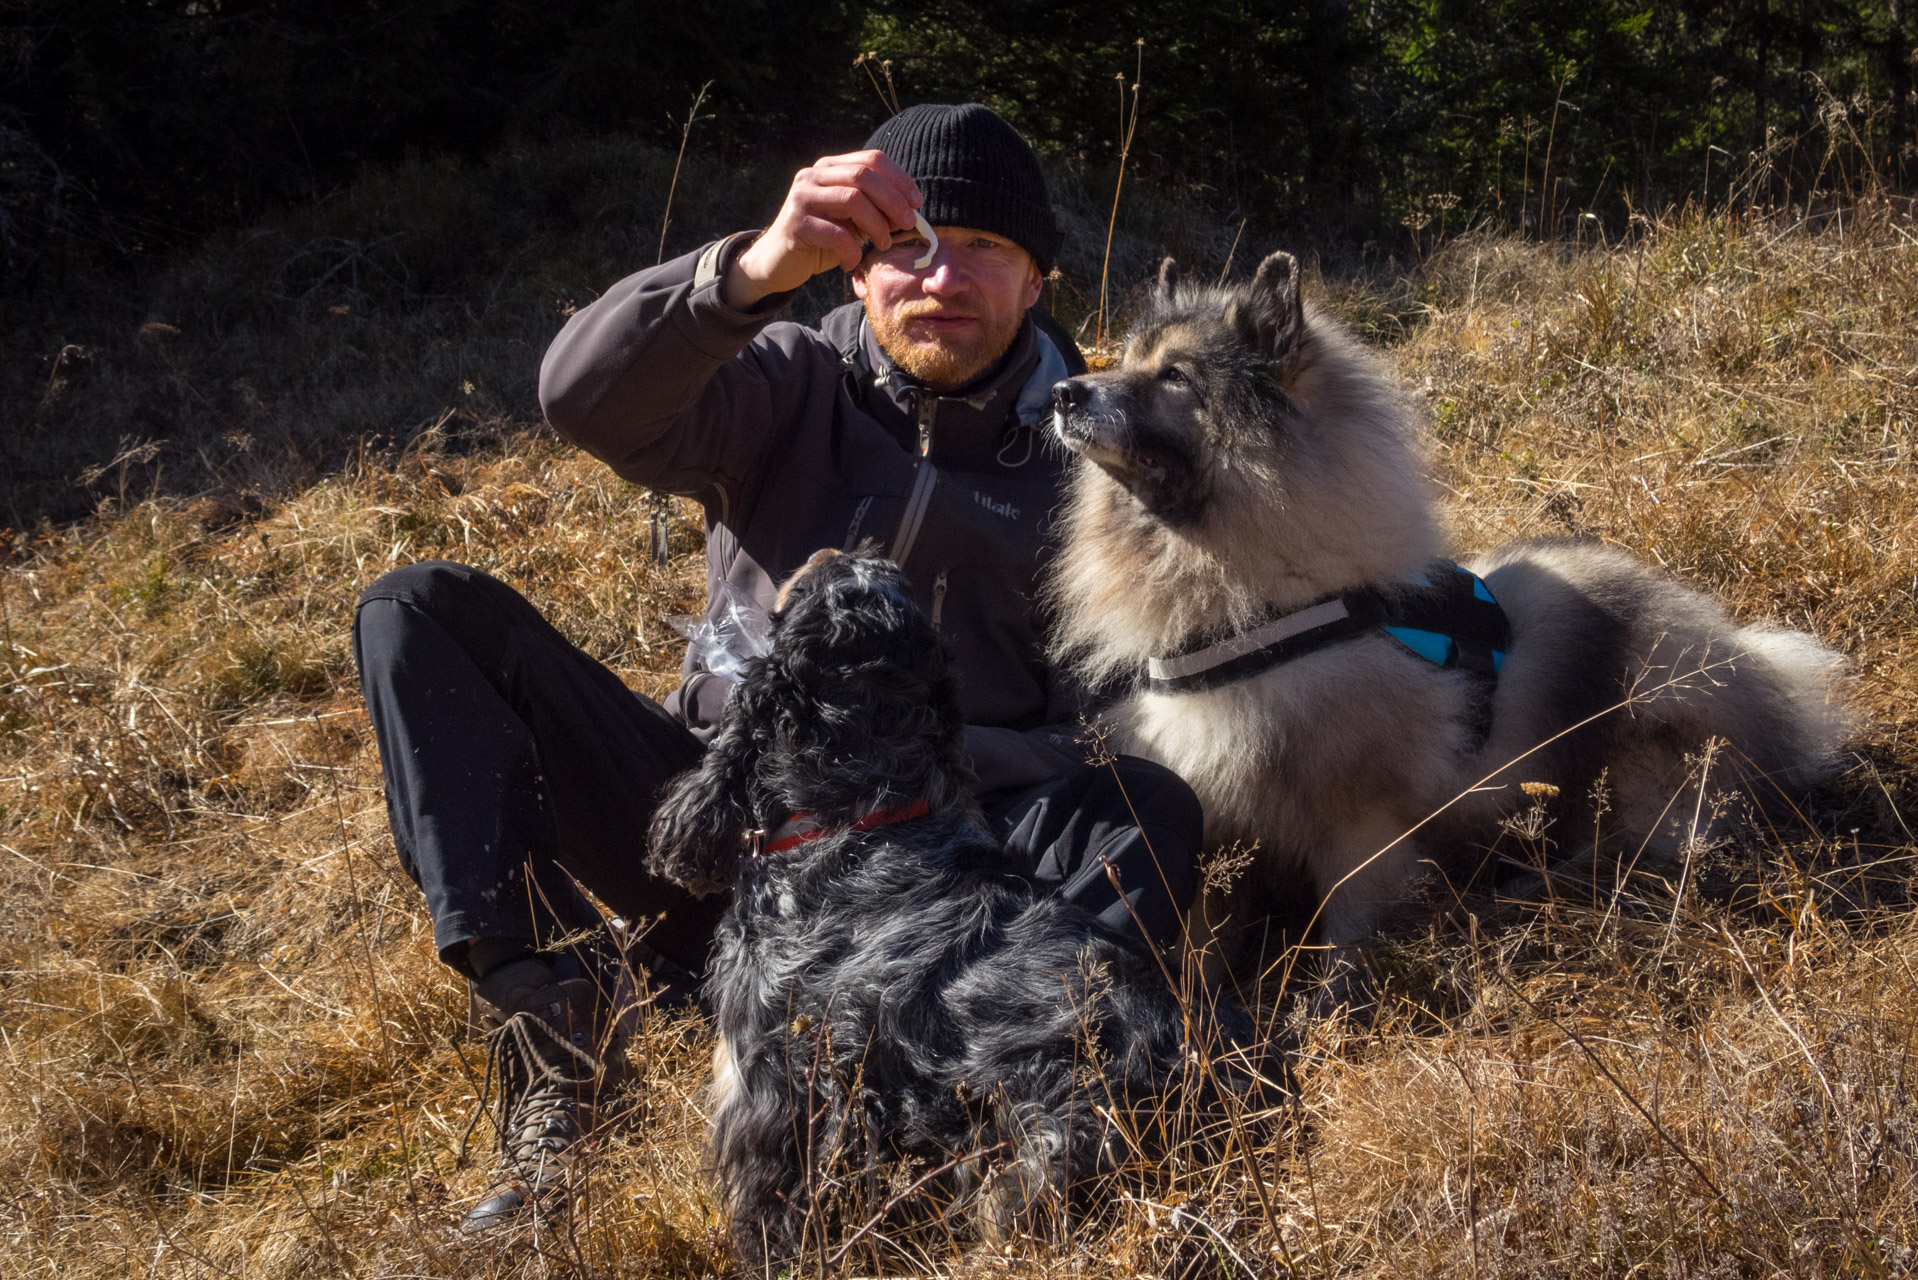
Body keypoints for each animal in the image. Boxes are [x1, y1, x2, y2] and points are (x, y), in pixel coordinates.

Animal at [648, 548, 1258, 1258]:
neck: (864, 811)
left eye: (818, 587)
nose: (840, 548)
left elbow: (768, 1202)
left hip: (1038, 1144)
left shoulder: (773, 1082)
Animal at [1043, 249, 1848, 990]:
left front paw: (1332, 1005)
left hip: (1648, 732)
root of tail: (1753, 661)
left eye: (1174, 377)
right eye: (1124, 363)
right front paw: (1202, 1014)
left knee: (1644, 844)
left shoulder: (1362, 830)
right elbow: (1204, 943)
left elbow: (1348, 931)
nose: (1063, 391)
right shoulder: (1220, 818)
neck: (1269, 612)